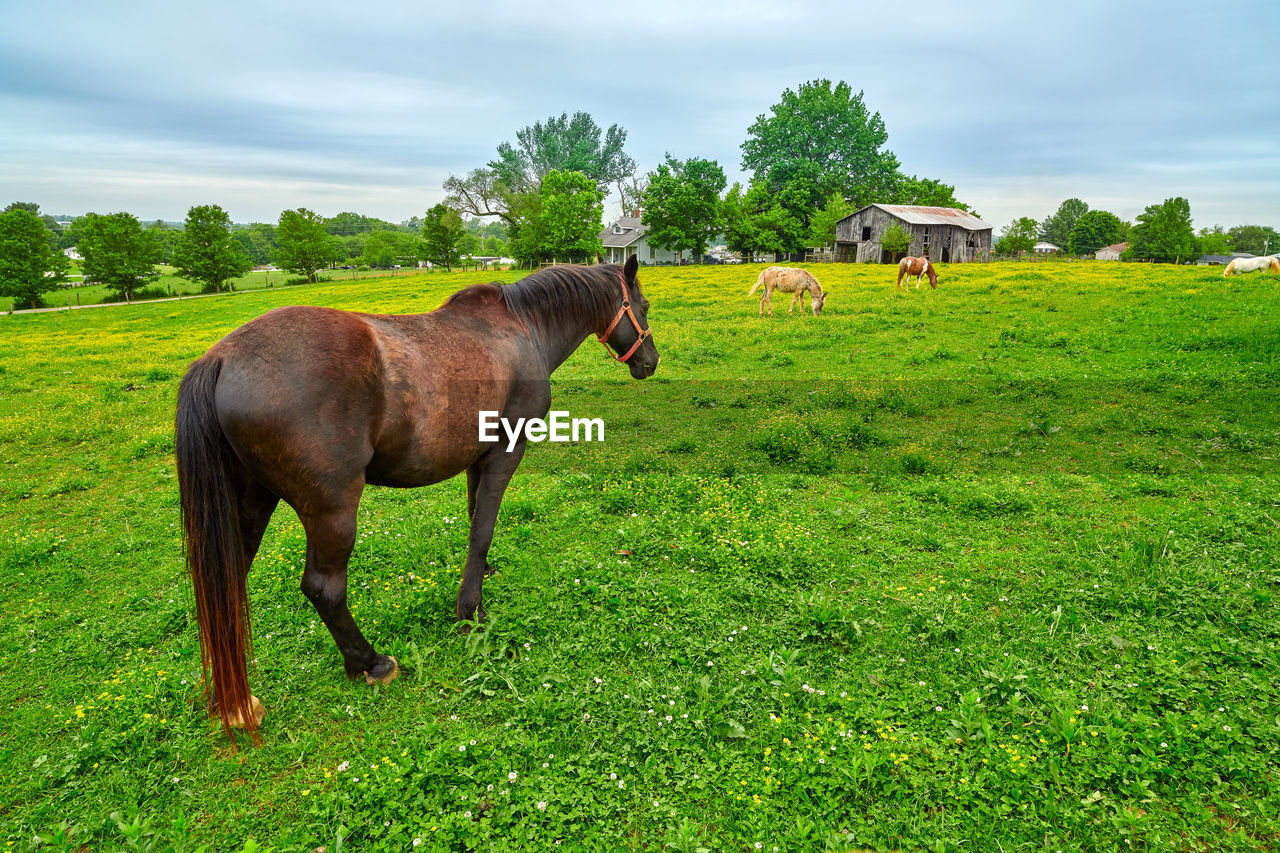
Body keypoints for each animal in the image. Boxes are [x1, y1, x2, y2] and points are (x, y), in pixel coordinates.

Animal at [177, 253, 660, 737]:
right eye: (645, 306)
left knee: (226, 587)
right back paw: (369, 662)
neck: (523, 328)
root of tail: (220, 359)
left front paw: (482, 574)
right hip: (331, 510)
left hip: (250, 503)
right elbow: (483, 527)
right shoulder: (506, 449)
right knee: (324, 588)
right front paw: (470, 609)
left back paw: (232, 701)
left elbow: (475, 518)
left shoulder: (477, 455)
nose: (651, 362)